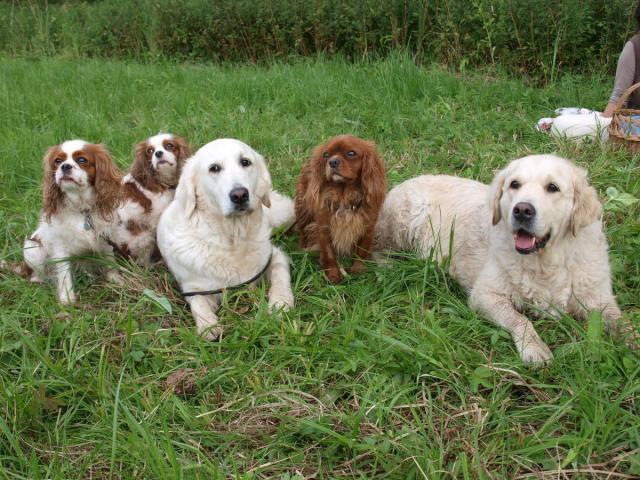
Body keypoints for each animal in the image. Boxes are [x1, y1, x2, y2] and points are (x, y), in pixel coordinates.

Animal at [23, 140, 123, 305]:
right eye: (58, 161)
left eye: (82, 160)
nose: (65, 166)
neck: (81, 209)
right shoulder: (59, 245)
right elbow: (64, 272)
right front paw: (67, 298)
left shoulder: (105, 236)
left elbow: (110, 260)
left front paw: (115, 279)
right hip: (32, 247)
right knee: (37, 272)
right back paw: (38, 279)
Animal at [157, 138, 294, 340]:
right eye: (214, 168)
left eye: (245, 162)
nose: (240, 195)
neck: (233, 238)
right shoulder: (194, 287)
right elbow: (198, 303)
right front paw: (208, 325)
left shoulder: (274, 255)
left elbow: (280, 274)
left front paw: (281, 302)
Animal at [295, 135, 386, 283]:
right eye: (326, 155)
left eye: (351, 153)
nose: (332, 162)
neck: (344, 196)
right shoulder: (324, 229)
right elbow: (329, 254)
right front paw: (333, 275)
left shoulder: (367, 228)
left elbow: (362, 252)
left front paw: (358, 271)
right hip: (303, 210)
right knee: (303, 230)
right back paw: (302, 248)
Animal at [375, 154, 629, 363]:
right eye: (514, 184)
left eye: (553, 187)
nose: (522, 210)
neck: (546, 263)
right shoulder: (485, 295)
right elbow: (520, 319)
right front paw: (534, 348)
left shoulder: (599, 300)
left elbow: (623, 322)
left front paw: (631, 343)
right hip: (402, 219)